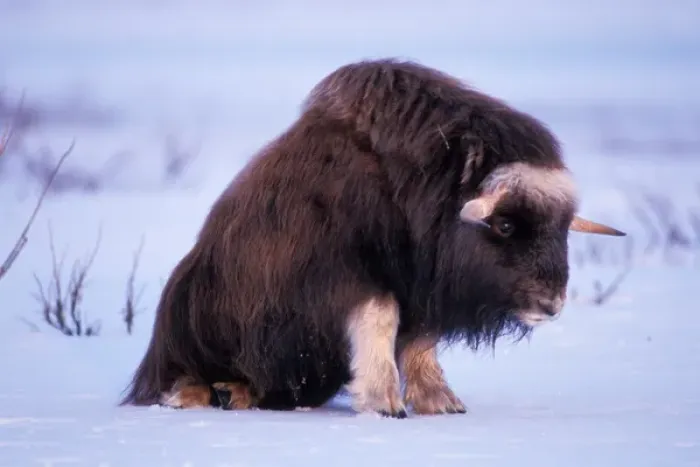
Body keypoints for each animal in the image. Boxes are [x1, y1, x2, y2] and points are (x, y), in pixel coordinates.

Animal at [119, 58, 626, 418]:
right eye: (505, 225)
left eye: (561, 226)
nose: (552, 305)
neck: (413, 193)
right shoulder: (346, 275)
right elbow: (380, 316)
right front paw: (385, 404)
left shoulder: (424, 286)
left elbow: (421, 340)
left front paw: (442, 403)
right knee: (190, 378)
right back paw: (212, 393)